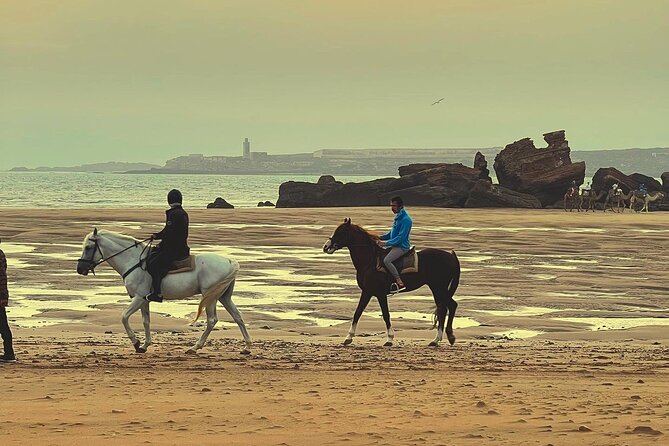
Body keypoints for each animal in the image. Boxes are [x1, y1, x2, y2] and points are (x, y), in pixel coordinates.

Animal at [75, 228, 252, 354]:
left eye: (89, 247)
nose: (80, 269)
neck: (133, 261)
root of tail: (230, 261)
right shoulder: (144, 300)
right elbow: (146, 321)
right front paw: (144, 345)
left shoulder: (138, 298)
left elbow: (124, 317)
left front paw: (136, 342)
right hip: (223, 297)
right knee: (237, 317)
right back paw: (247, 347)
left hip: (211, 297)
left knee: (212, 320)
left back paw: (195, 347)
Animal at [322, 218, 460, 346]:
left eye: (341, 232)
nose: (326, 247)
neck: (370, 261)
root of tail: (451, 256)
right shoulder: (367, 292)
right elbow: (357, 313)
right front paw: (348, 338)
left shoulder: (380, 294)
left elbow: (385, 314)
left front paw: (389, 339)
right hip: (437, 288)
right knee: (444, 308)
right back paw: (438, 339)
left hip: (439, 287)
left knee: (449, 306)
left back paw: (445, 338)